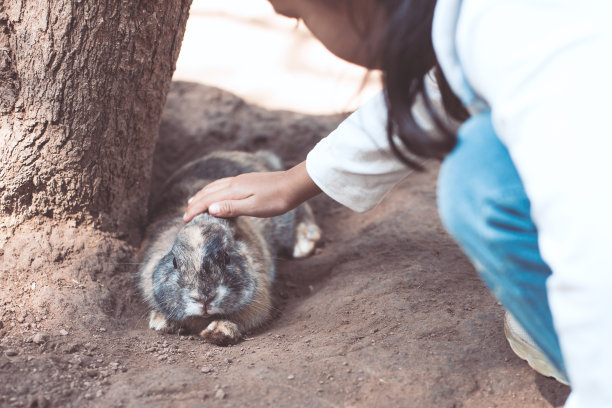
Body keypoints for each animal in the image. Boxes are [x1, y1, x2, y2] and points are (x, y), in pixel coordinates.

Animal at [138, 150, 320, 344]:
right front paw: (161, 322)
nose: (204, 299)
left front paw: (219, 331)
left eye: (226, 258)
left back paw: (303, 244)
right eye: (174, 262)